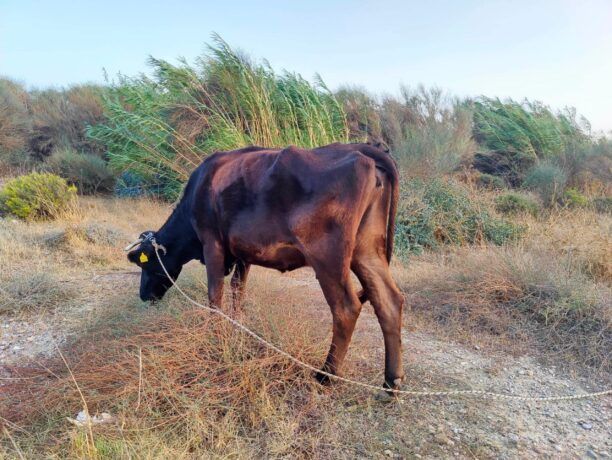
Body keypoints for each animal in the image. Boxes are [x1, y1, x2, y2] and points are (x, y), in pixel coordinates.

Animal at [124, 142, 404, 390]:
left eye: (144, 265)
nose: (143, 295)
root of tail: (361, 149)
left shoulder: (212, 243)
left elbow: (215, 296)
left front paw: (216, 336)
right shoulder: (242, 254)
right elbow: (238, 291)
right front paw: (237, 327)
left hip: (328, 256)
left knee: (346, 307)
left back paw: (326, 374)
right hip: (366, 251)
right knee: (388, 300)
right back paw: (391, 382)